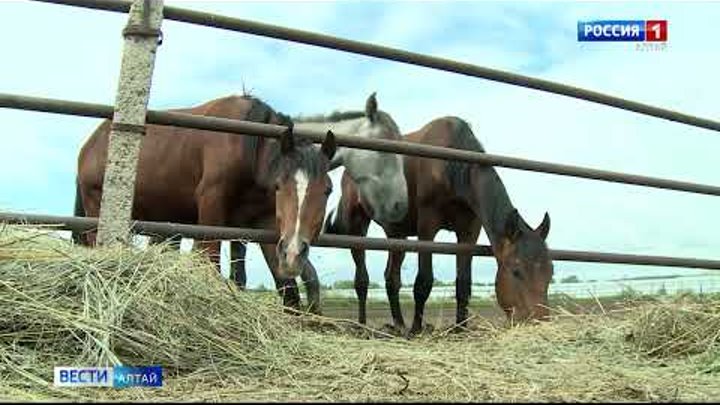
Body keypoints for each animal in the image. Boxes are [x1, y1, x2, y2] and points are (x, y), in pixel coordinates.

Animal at [73, 95, 338, 312]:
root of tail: (90, 145)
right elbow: (211, 265)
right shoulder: (212, 211)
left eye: (328, 190)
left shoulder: (264, 226)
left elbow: (286, 290)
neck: (247, 146)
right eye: (279, 185)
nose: (294, 252)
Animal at [324, 115, 556, 332]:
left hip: (397, 234)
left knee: (392, 278)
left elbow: (463, 284)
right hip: (357, 225)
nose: (540, 322)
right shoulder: (427, 227)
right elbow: (424, 281)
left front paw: (460, 328)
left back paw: (399, 325)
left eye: (550, 272)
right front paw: (417, 329)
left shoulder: (468, 232)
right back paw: (364, 325)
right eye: (516, 271)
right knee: (362, 280)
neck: (450, 165)